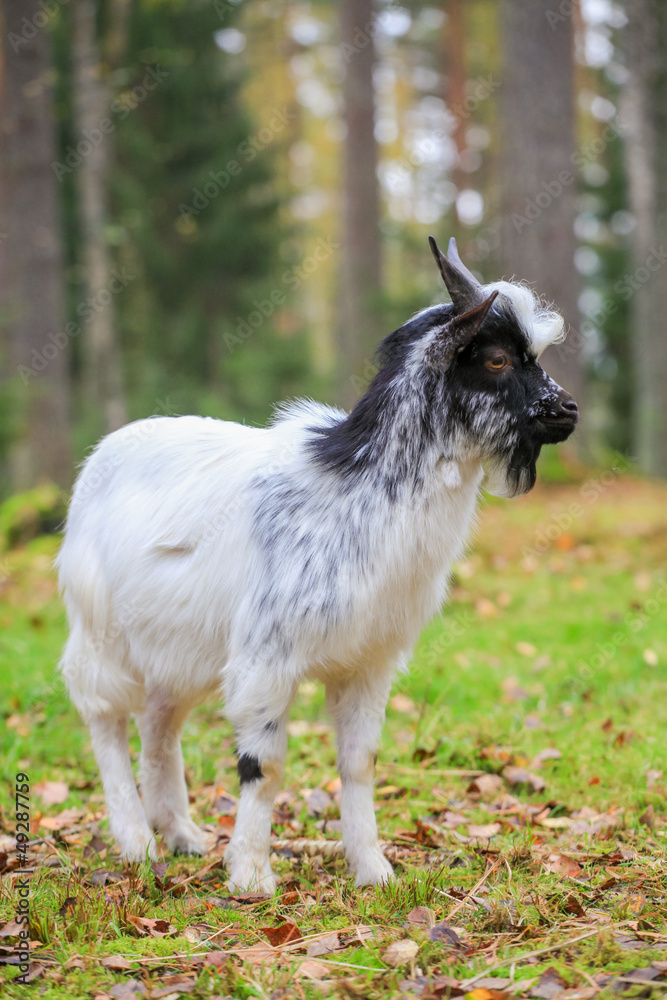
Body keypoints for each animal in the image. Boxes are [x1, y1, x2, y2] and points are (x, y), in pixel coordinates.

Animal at [57, 237, 578, 892]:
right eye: (497, 360)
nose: (568, 409)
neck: (354, 491)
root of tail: (99, 458)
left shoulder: (369, 661)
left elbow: (359, 762)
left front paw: (373, 868)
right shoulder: (266, 659)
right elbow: (265, 766)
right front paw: (252, 875)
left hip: (180, 645)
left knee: (158, 721)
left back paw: (181, 835)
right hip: (100, 629)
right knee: (104, 716)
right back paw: (136, 842)